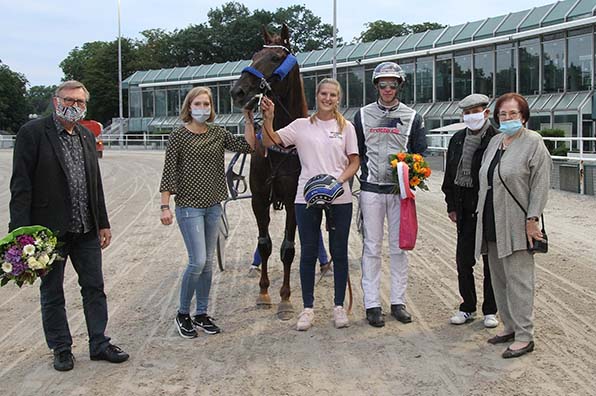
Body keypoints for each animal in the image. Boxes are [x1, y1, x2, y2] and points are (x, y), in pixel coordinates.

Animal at [230, 24, 310, 322]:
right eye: (254, 55)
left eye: (276, 57)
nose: (238, 90)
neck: (282, 142)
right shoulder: (260, 198)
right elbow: (265, 244)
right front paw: (264, 294)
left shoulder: (294, 200)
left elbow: (288, 248)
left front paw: (285, 298)